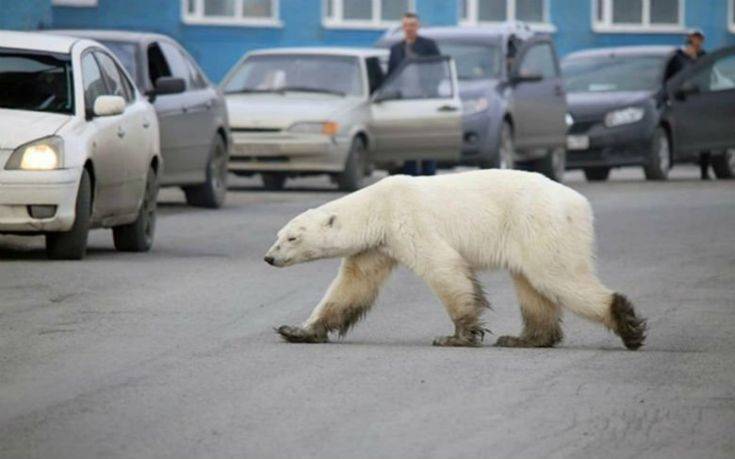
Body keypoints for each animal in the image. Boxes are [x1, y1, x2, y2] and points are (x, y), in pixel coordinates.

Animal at [268, 171, 648, 350]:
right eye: (278, 234)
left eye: (292, 237)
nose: (269, 257)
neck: (379, 206)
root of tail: (580, 203)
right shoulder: (377, 246)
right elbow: (351, 286)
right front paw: (297, 330)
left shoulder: (409, 221)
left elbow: (444, 268)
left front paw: (457, 336)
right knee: (531, 286)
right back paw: (524, 338)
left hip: (540, 223)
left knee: (557, 276)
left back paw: (628, 325)